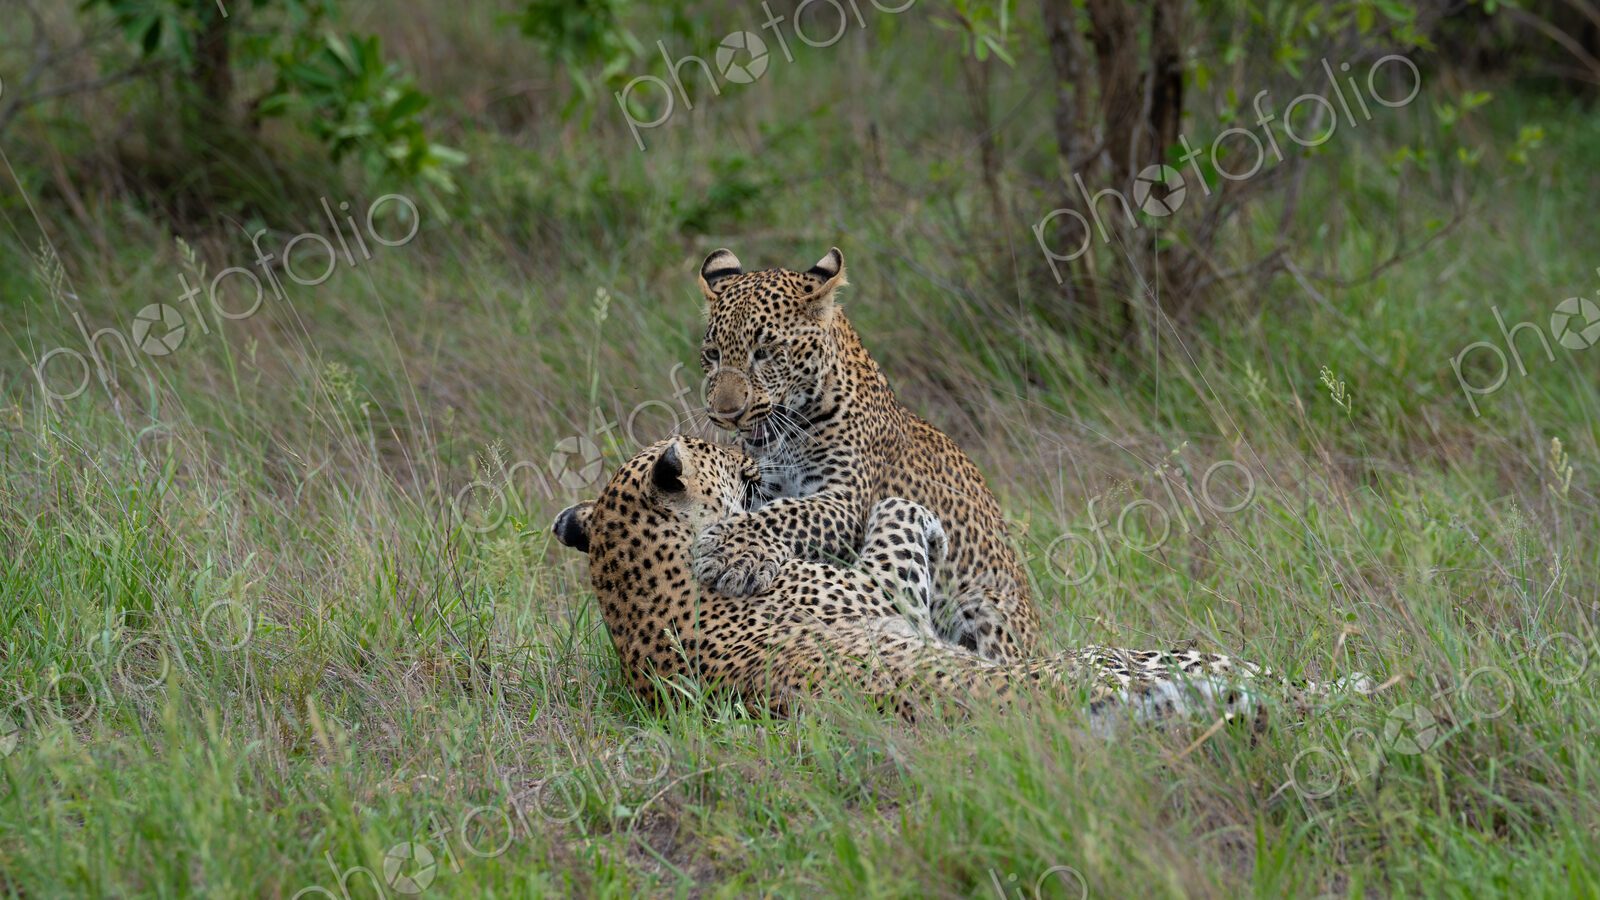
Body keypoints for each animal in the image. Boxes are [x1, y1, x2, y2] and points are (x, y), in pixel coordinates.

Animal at [553, 436, 1370, 732]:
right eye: (718, 450)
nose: (752, 459)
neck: (633, 594)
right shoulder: (886, 592)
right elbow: (893, 521)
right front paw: (917, 508)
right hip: (1152, 658)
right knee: (1307, 687)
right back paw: (1363, 687)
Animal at [688, 246, 1038, 663]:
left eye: (765, 352)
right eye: (712, 354)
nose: (725, 413)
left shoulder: (847, 498)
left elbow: (789, 513)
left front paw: (730, 550)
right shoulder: (760, 485)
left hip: (983, 602)